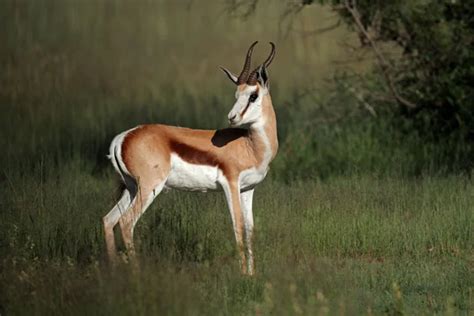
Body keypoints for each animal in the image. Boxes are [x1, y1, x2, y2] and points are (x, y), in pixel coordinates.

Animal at [102, 41, 276, 274]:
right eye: (236, 95)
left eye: (253, 95)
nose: (232, 117)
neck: (250, 145)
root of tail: (123, 137)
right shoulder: (230, 184)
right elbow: (237, 227)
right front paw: (242, 274)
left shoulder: (248, 189)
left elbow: (249, 231)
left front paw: (251, 275)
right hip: (149, 188)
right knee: (126, 222)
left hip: (131, 188)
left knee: (108, 220)